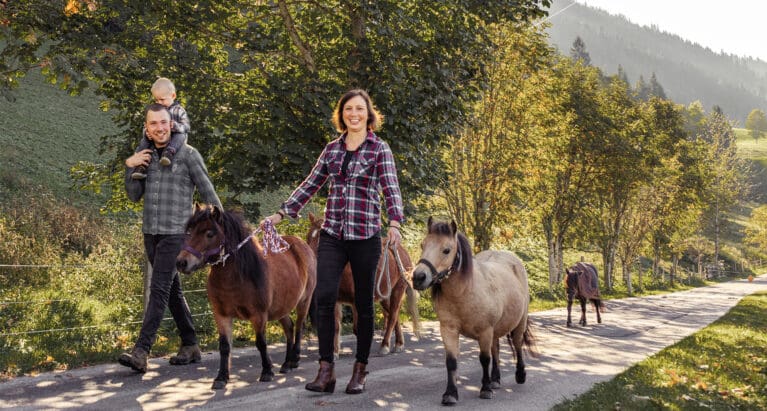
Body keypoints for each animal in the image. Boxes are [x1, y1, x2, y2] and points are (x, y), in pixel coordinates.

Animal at [176, 206, 316, 390]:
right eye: (190, 231)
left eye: (209, 234)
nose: (181, 262)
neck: (237, 277)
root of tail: (302, 244)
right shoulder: (221, 315)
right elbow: (224, 346)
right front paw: (221, 377)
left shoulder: (259, 315)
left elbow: (261, 343)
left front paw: (267, 371)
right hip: (281, 307)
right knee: (289, 328)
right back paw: (286, 364)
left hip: (304, 302)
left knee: (299, 327)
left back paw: (294, 359)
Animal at [304, 212, 420, 358]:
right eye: (308, 236)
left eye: (320, 238)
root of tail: (399, 250)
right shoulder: (337, 300)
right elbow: (336, 326)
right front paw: (335, 352)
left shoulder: (356, 300)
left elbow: (357, 328)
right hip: (384, 295)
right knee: (393, 315)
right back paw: (399, 343)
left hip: (397, 290)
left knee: (393, 316)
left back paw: (385, 346)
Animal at [414, 217, 536, 408]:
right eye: (423, 245)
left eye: (446, 250)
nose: (418, 277)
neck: (464, 292)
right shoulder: (448, 330)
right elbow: (451, 362)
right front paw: (450, 394)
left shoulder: (485, 331)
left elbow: (484, 359)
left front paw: (485, 389)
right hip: (495, 330)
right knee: (496, 349)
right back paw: (495, 379)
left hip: (518, 323)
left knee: (517, 344)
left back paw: (519, 375)